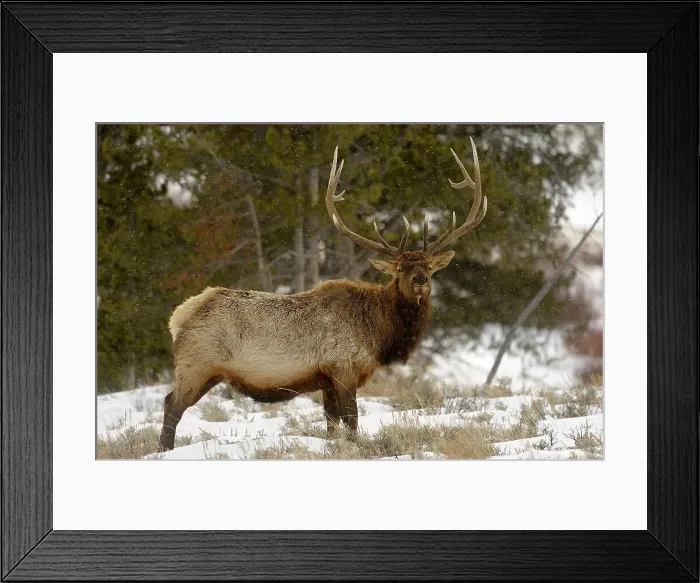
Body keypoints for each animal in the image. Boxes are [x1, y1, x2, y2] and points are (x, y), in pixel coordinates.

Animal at [157, 138, 487, 452]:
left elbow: (331, 424)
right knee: (171, 404)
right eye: (399, 269)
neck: (378, 333)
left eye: (429, 267)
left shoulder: (326, 380)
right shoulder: (343, 368)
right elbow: (352, 422)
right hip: (196, 364)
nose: (420, 279)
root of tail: (178, 317)